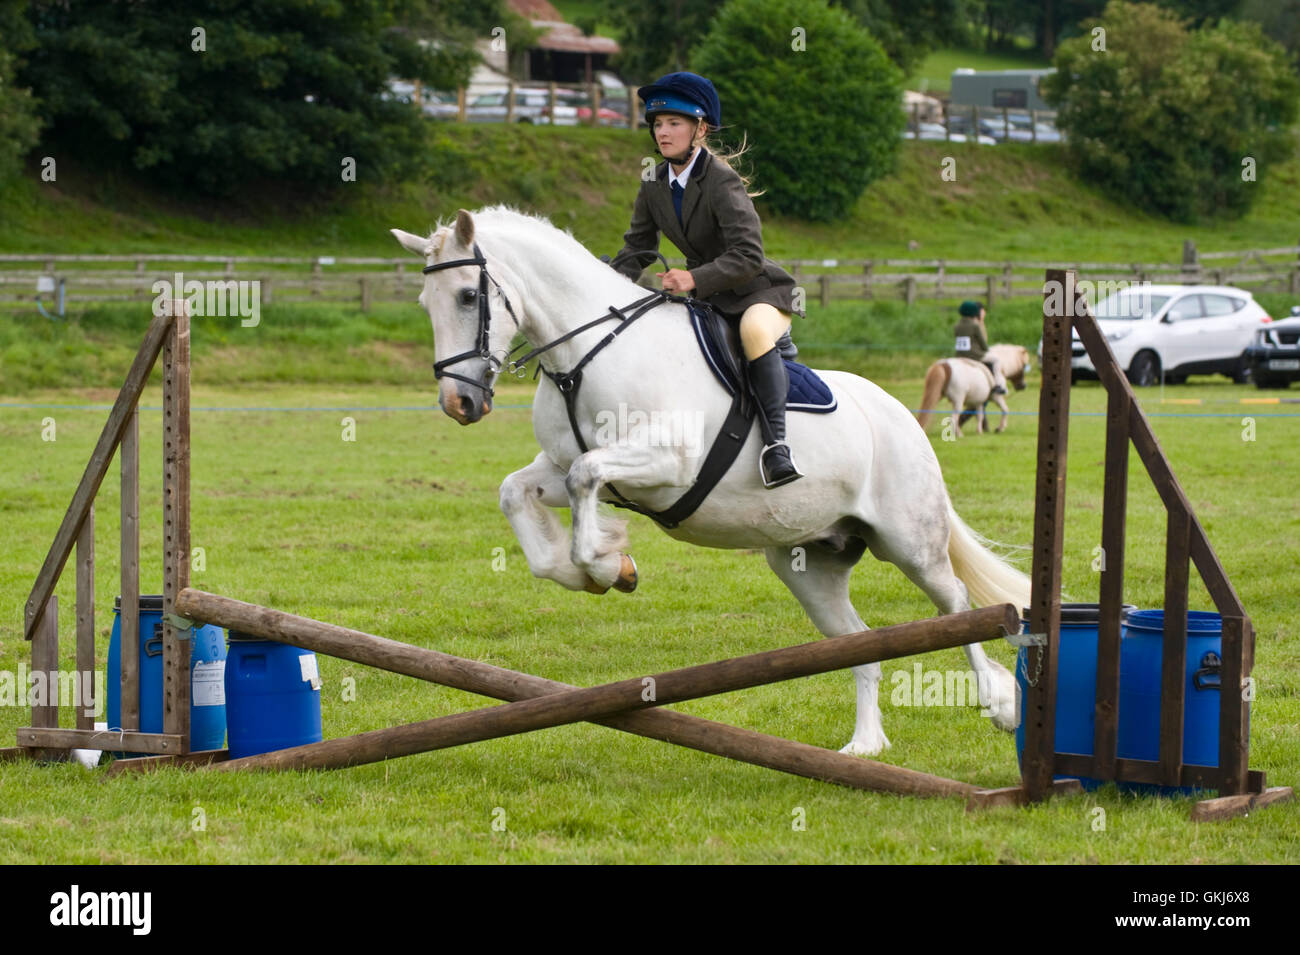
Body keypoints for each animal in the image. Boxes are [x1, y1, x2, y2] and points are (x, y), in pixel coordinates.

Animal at [390, 205, 1029, 758]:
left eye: (469, 296)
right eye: (424, 301)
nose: (459, 404)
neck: (584, 356)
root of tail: (899, 415)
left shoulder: (665, 465)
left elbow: (584, 479)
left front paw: (606, 564)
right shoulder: (564, 464)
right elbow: (522, 493)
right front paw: (603, 568)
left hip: (909, 541)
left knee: (955, 603)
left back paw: (999, 703)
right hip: (809, 564)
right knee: (861, 645)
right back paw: (865, 746)